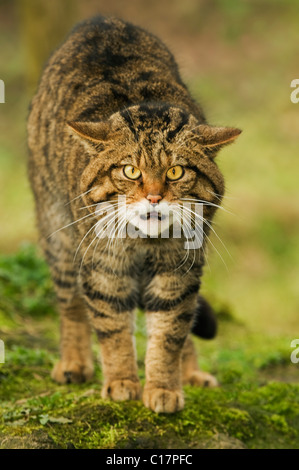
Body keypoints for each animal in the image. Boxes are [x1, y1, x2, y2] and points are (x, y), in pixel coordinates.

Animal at [27, 15, 241, 412]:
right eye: (130, 171)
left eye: (176, 172)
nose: (154, 197)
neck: (144, 245)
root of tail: (100, 19)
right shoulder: (103, 269)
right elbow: (112, 329)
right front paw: (122, 382)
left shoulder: (178, 272)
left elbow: (170, 333)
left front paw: (163, 387)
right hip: (58, 234)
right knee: (71, 305)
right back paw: (75, 362)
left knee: (186, 324)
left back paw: (190, 373)